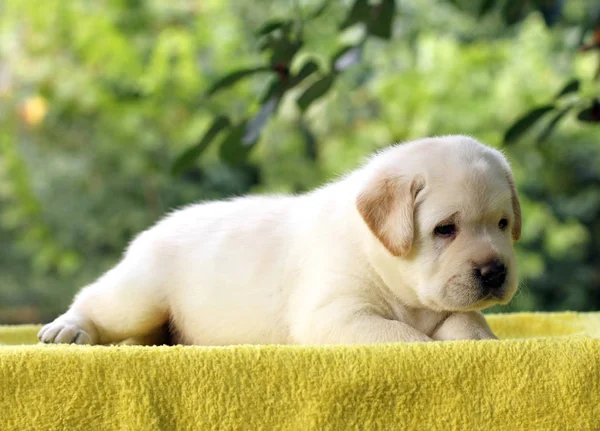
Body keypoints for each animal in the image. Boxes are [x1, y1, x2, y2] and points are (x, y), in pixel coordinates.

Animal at [38, 137, 520, 346]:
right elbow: (403, 338)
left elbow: (467, 321)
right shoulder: (336, 314)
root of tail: (150, 230)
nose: (495, 272)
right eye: (445, 229)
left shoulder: (443, 306)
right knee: (94, 300)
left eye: (502, 224)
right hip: (139, 294)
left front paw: (479, 338)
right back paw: (68, 328)